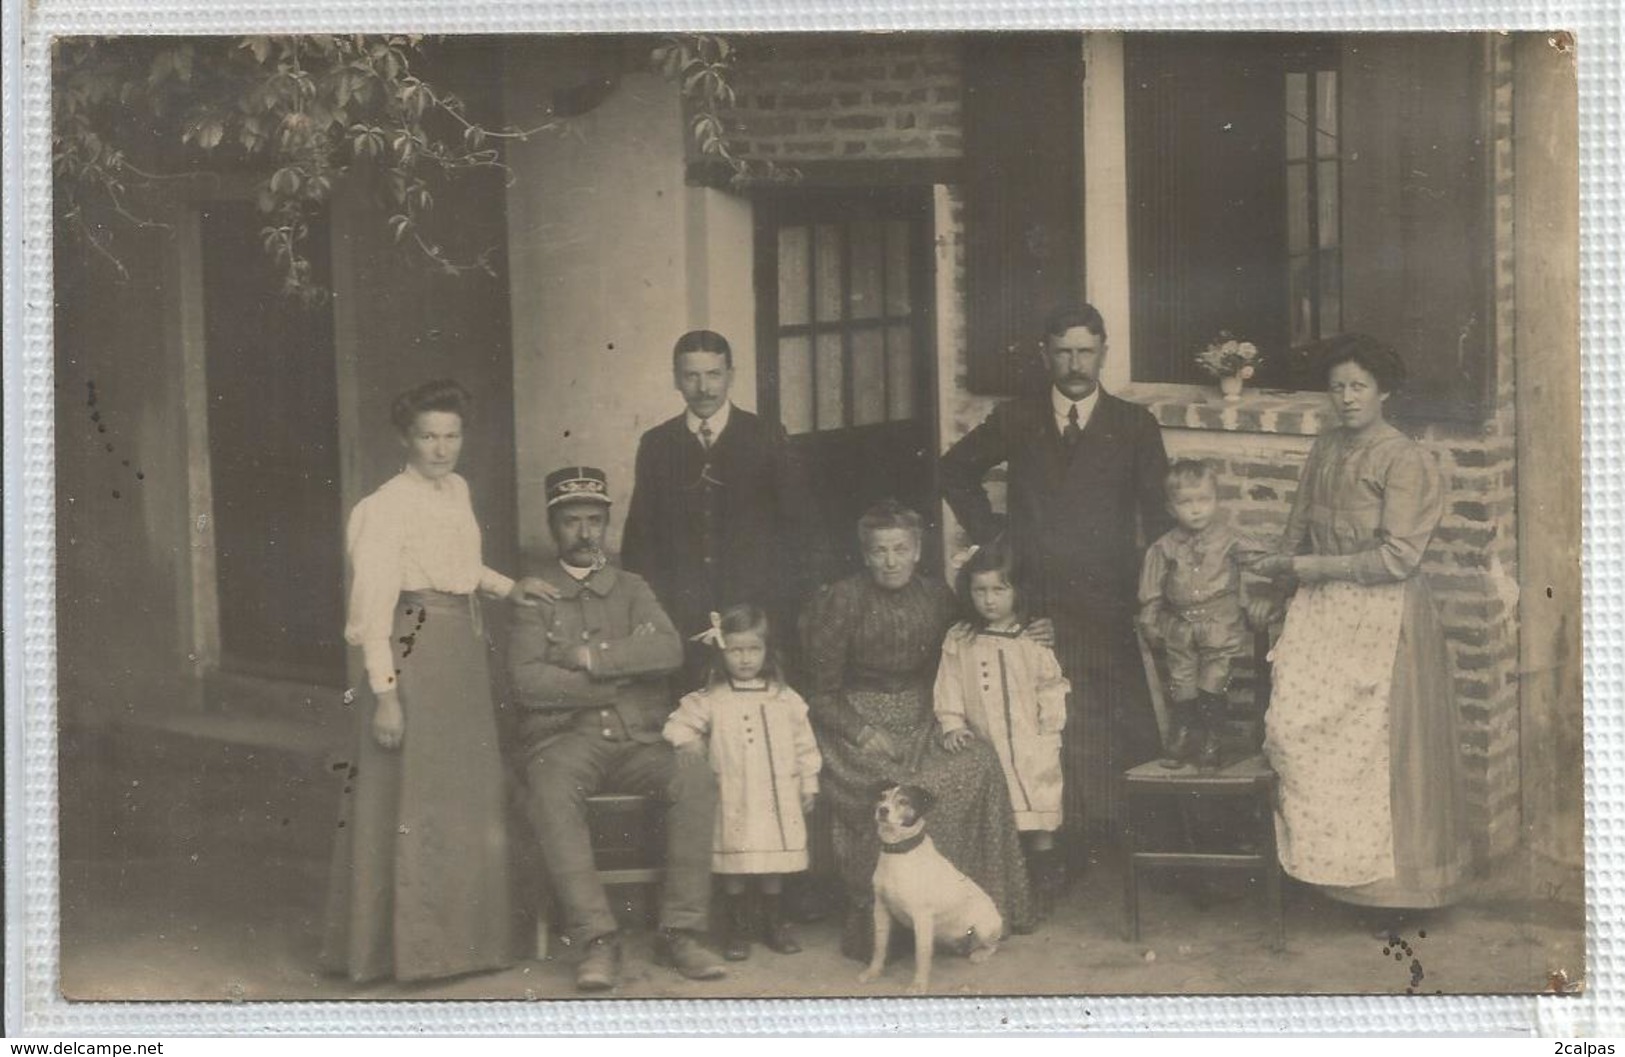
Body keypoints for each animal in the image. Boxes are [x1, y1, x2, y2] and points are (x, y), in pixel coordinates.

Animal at [858, 777, 994, 995]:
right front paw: (873, 972)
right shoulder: (881, 908)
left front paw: (918, 985)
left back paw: (979, 954)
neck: (899, 852)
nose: (882, 810)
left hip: (984, 927)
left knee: (993, 945)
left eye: (903, 801)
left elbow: (921, 954)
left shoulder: (922, 917)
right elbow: (879, 946)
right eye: (882, 796)